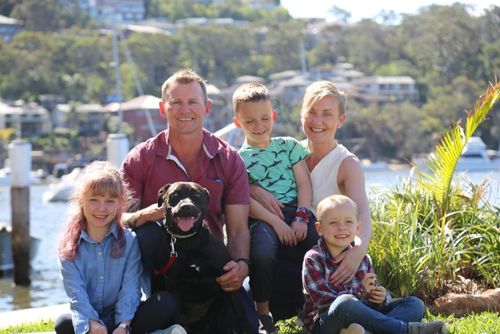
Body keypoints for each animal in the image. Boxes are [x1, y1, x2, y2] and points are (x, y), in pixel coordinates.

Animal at [152, 183, 254, 334]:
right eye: (175, 195)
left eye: (197, 196)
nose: (186, 207)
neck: (189, 241)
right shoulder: (173, 286)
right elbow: (177, 317)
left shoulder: (229, 281)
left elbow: (240, 313)